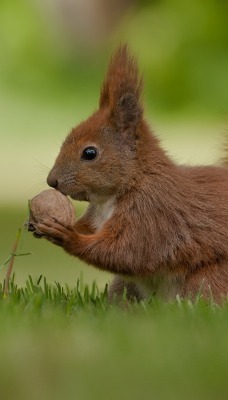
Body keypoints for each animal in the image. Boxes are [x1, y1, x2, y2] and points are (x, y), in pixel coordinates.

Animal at [33, 45, 228, 302]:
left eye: (90, 153)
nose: (51, 181)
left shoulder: (152, 214)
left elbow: (126, 253)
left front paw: (67, 236)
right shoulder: (98, 217)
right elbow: (92, 231)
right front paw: (41, 224)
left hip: (208, 280)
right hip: (124, 287)